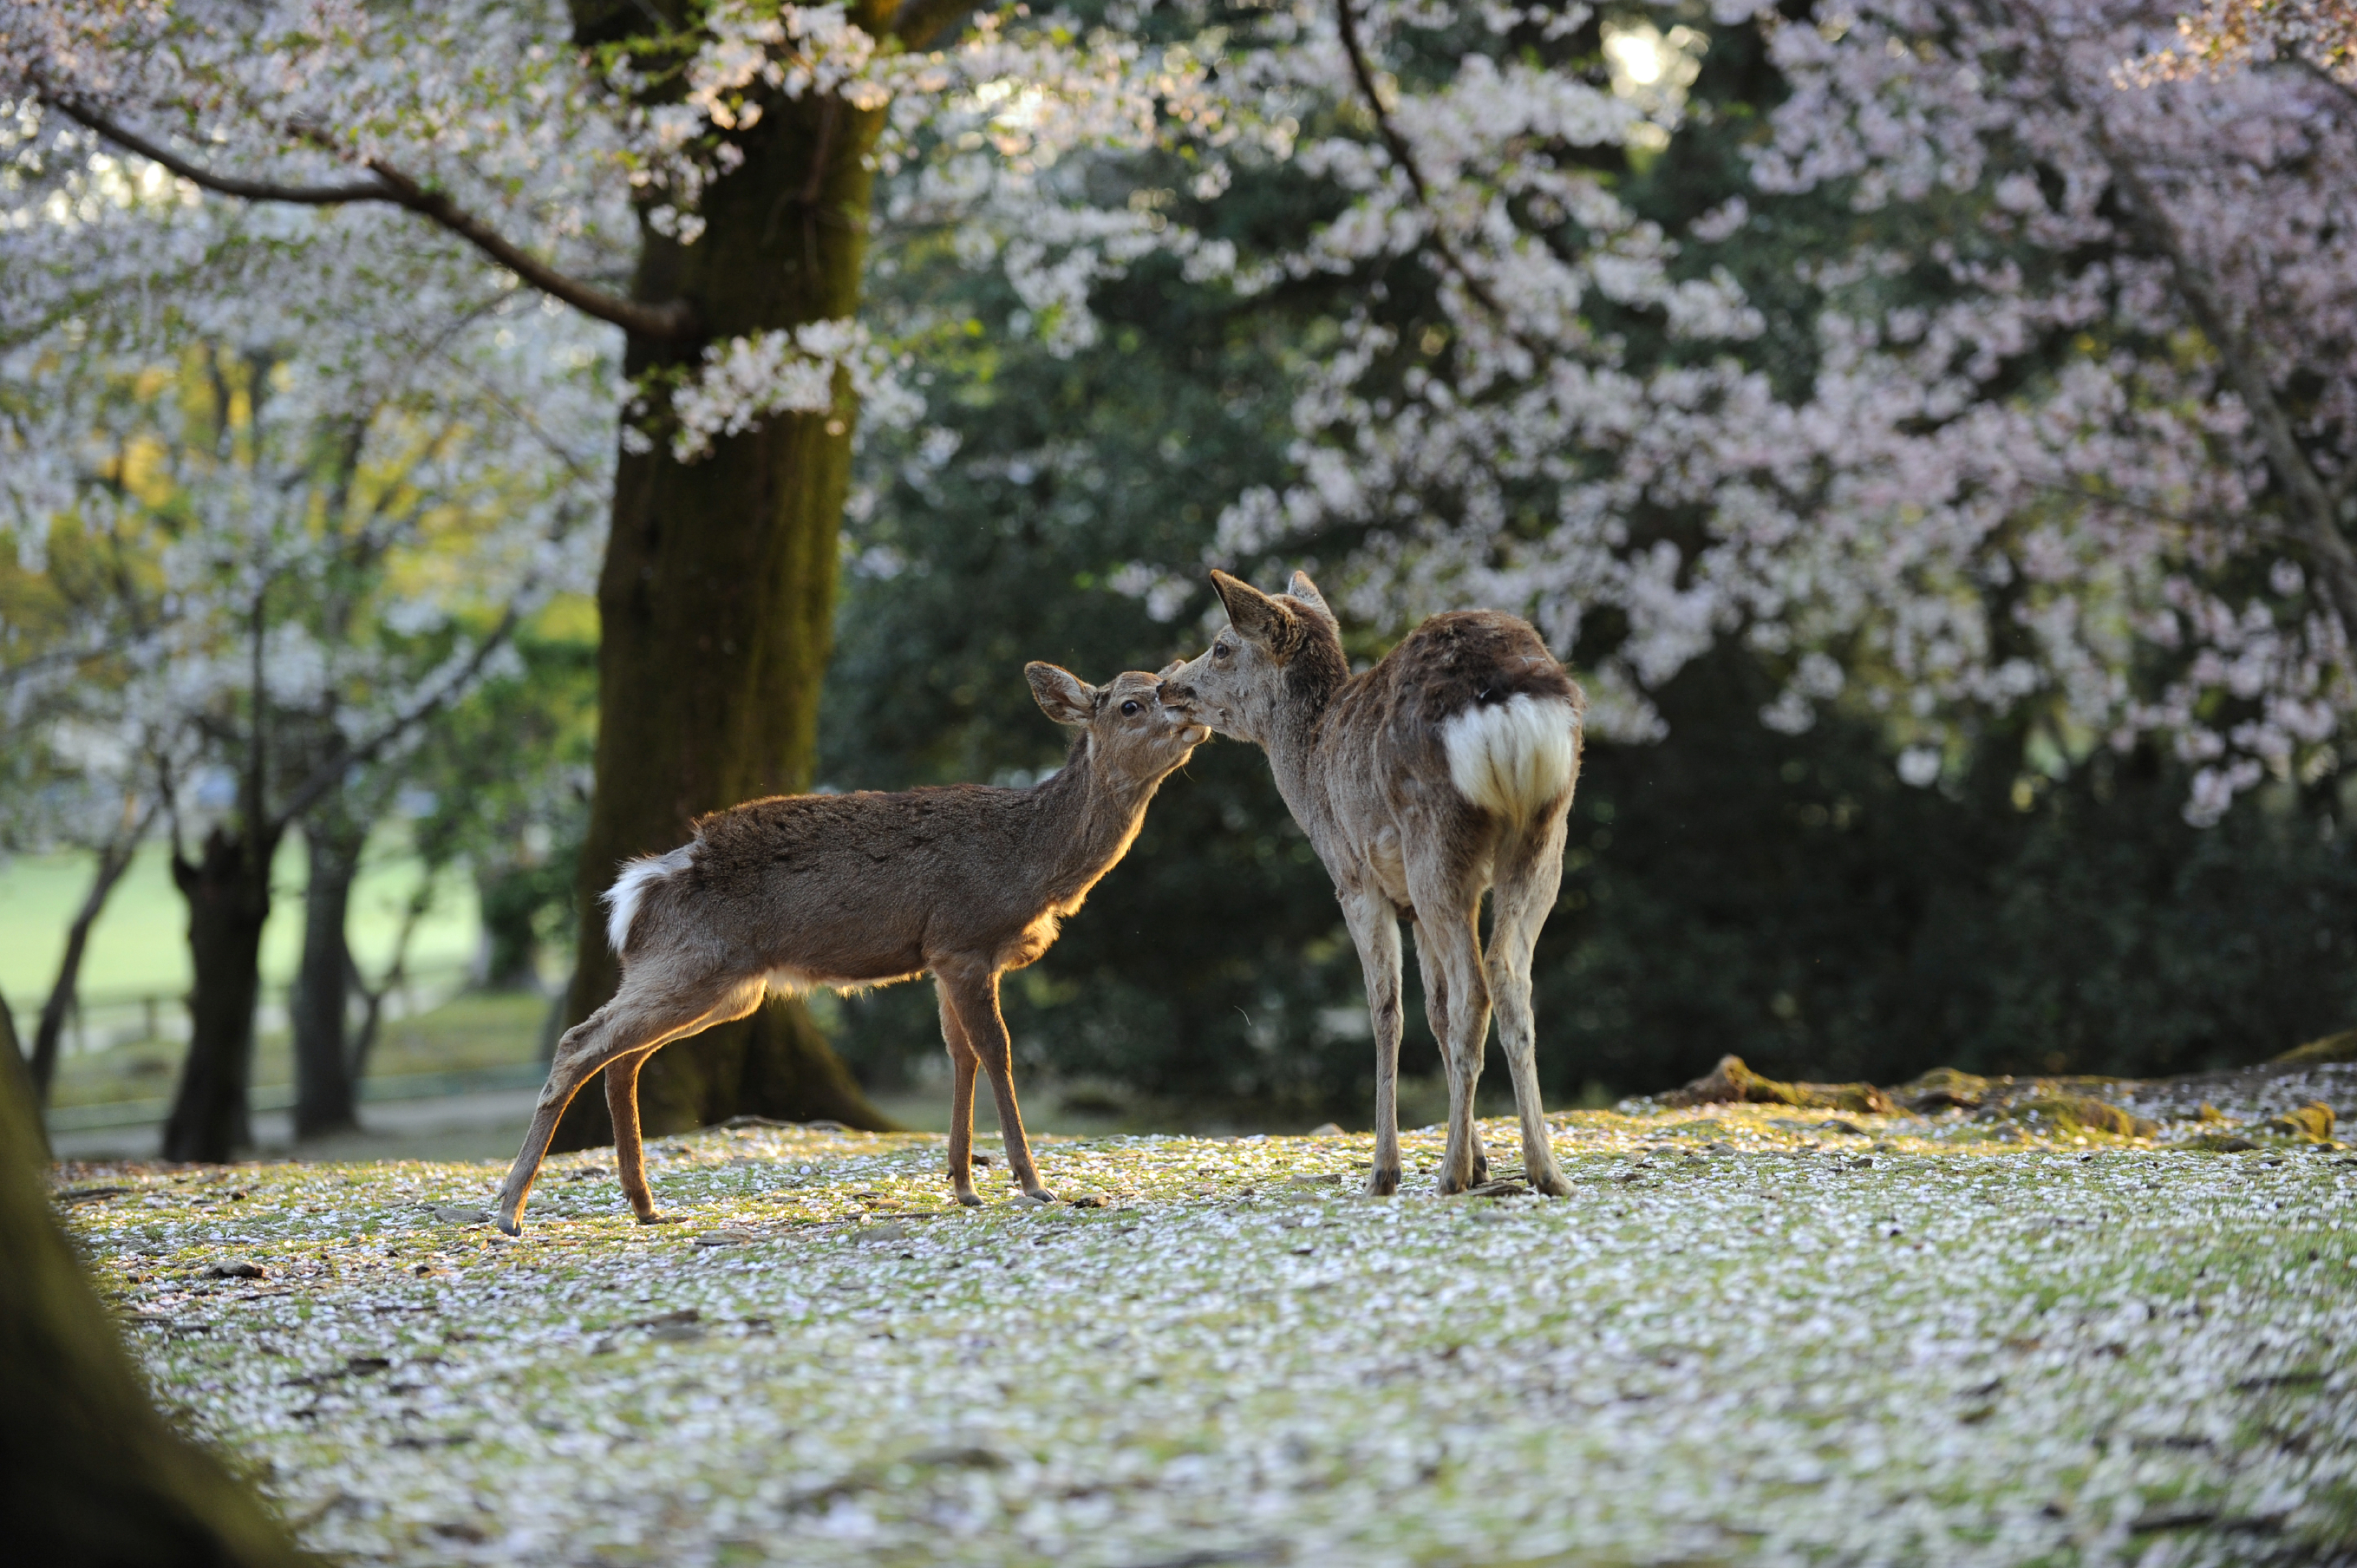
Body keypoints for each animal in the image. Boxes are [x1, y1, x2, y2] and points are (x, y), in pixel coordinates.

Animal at [490, 660, 1206, 1235]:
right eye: (1131, 703)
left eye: (1166, 679)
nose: (1193, 714)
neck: (1032, 862)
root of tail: (635, 892)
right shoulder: (964, 939)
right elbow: (997, 1053)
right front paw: (1032, 1183)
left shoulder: (942, 958)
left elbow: (960, 1056)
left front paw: (964, 1185)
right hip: (695, 965)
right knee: (580, 1041)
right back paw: (509, 1210)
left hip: (722, 987)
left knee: (622, 1059)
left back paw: (644, 1205)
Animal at [1159, 568, 1583, 1192]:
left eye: (1221, 646)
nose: (1165, 685)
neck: (1309, 770)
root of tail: (1503, 699)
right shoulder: (1414, 905)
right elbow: (1434, 1011)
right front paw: (1481, 1158)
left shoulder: (1356, 881)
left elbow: (1387, 1010)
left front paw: (1387, 1170)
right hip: (1545, 831)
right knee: (1507, 973)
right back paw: (1545, 1171)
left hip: (1435, 837)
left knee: (1475, 986)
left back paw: (1451, 1175)